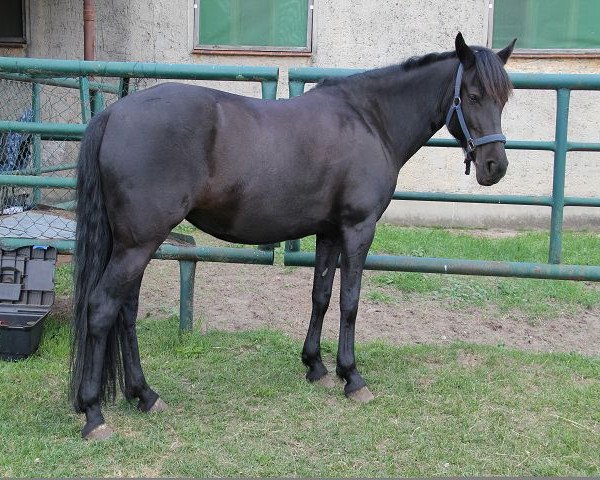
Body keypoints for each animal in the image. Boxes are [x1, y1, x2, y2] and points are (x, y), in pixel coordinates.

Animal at [71, 32, 516, 438]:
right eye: (473, 95)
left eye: (504, 99)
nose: (495, 166)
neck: (370, 120)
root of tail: (113, 115)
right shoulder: (358, 229)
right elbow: (350, 302)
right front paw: (352, 377)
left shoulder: (329, 232)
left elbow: (321, 295)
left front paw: (315, 365)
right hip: (138, 244)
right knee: (103, 308)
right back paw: (94, 414)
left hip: (136, 245)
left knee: (126, 311)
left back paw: (145, 395)